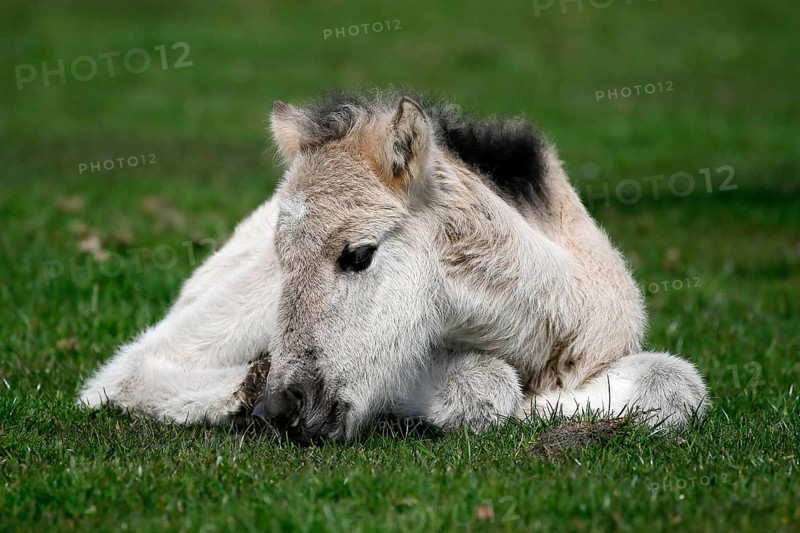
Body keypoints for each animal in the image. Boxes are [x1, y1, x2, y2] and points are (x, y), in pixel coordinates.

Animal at [79, 91, 709, 440]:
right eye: (285, 261)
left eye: (359, 254)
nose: (281, 408)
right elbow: (484, 385)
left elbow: (677, 385)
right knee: (123, 373)